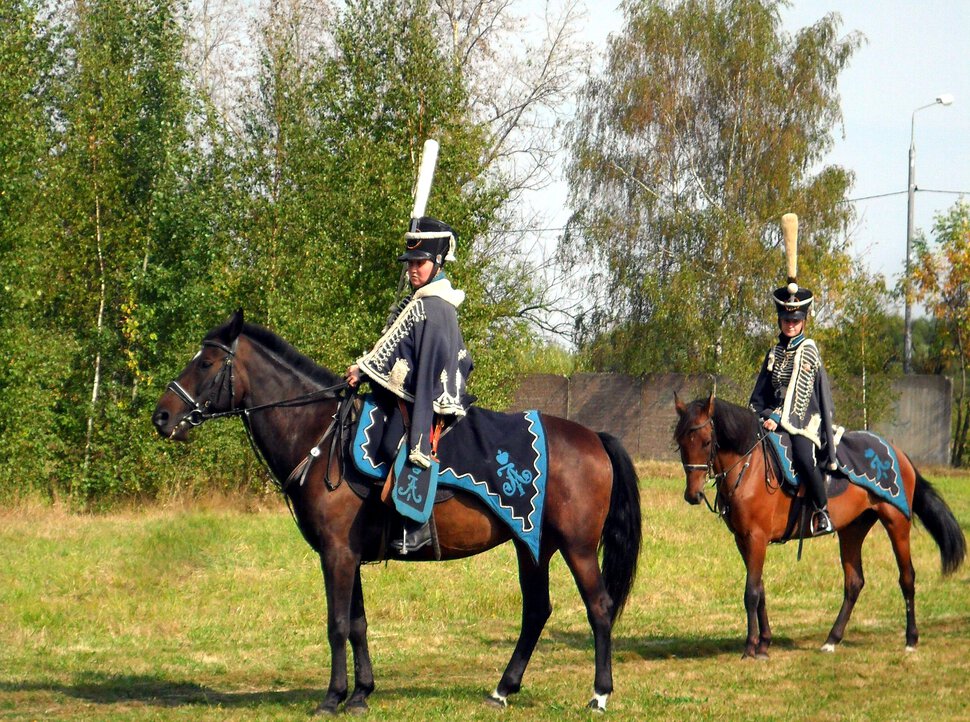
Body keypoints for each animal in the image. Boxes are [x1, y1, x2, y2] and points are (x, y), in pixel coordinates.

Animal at [151, 310, 640, 716]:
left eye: (206, 364)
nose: (162, 417)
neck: (321, 435)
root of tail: (593, 438)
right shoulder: (347, 556)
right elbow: (357, 624)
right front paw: (360, 694)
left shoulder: (337, 555)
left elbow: (336, 624)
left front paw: (332, 698)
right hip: (532, 545)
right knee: (537, 610)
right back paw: (503, 689)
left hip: (577, 548)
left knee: (599, 607)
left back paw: (599, 694)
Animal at [672, 394, 960, 660]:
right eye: (680, 443)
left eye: (706, 442)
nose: (693, 495)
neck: (749, 466)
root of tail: (898, 453)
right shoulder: (743, 540)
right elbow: (761, 589)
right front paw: (764, 643)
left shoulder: (756, 538)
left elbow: (751, 592)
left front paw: (751, 647)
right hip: (852, 529)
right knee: (854, 582)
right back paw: (832, 639)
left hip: (897, 523)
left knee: (907, 577)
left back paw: (911, 639)